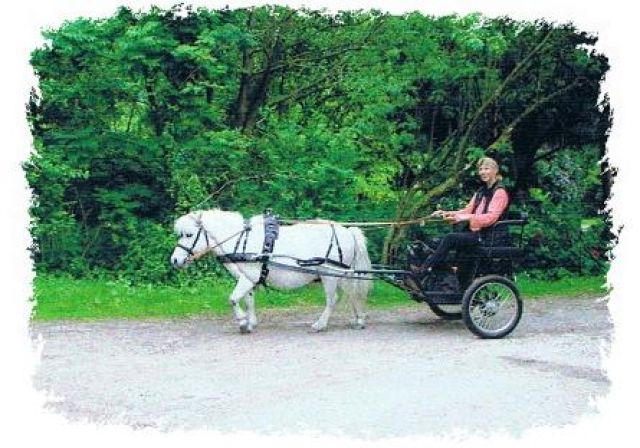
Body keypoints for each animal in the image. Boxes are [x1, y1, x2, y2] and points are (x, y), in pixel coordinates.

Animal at [170, 209, 372, 333]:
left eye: (189, 235)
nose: (175, 260)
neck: (240, 241)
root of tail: (347, 232)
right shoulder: (248, 279)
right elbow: (249, 300)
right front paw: (250, 323)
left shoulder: (247, 278)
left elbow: (233, 299)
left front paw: (242, 322)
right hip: (341, 275)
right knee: (353, 294)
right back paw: (359, 320)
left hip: (328, 275)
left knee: (332, 299)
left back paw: (320, 325)